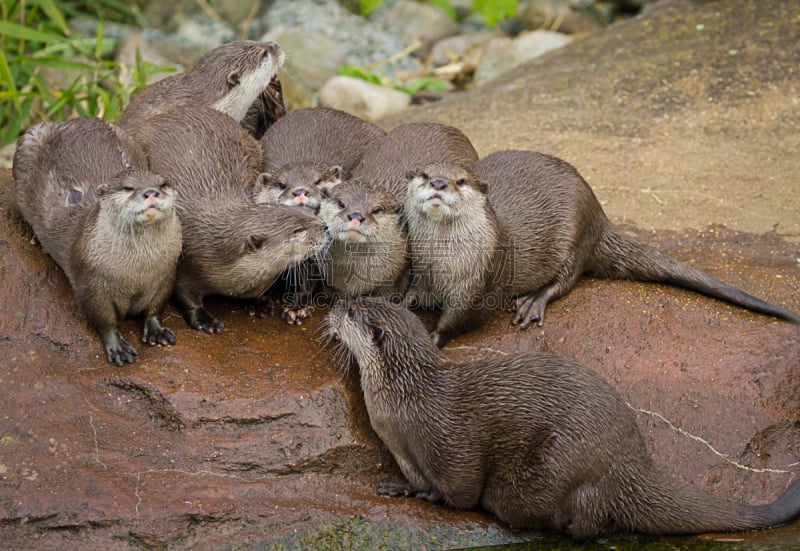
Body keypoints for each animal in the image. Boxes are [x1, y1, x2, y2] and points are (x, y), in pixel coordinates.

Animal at [12, 117, 181, 366]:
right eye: (128, 188)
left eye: (163, 184)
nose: (151, 192)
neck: (136, 271)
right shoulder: (91, 282)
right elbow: (103, 319)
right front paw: (117, 346)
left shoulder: (166, 274)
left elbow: (155, 307)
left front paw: (156, 330)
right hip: (28, 141)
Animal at [126, 106, 324, 332]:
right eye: (297, 230)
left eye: (305, 213)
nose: (324, 226)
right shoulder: (185, 262)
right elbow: (185, 294)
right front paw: (204, 319)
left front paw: (259, 302)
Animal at [324, 298, 800, 540]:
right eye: (359, 299)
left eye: (351, 312)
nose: (331, 305)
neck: (406, 399)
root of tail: (630, 466)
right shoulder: (404, 449)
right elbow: (416, 476)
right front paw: (402, 488)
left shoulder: (448, 439)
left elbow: (459, 488)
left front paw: (429, 497)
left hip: (557, 467)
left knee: (578, 523)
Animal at [404, 151, 800, 348]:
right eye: (422, 174)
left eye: (461, 181)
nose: (438, 183)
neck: (442, 262)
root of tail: (600, 213)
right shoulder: (421, 266)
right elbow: (414, 290)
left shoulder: (480, 279)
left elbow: (462, 318)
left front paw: (432, 337)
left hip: (576, 233)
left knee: (567, 279)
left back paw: (533, 302)